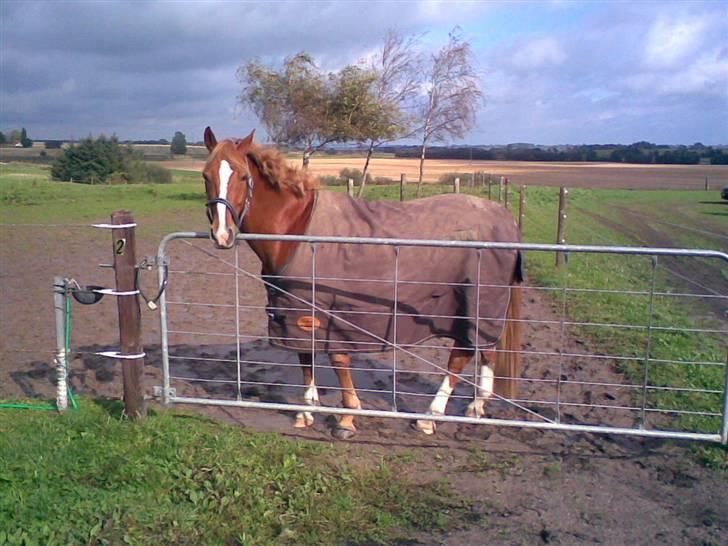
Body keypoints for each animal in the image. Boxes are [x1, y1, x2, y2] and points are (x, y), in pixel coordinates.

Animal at [202, 126, 524, 438]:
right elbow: (305, 356)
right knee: (485, 350)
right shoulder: (295, 309)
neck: (296, 227)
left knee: (461, 355)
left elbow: (337, 360)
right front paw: (307, 411)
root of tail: (505, 218)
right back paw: (476, 407)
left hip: (476, 304)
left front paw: (346, 418)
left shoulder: (330, 311)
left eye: (243, 176)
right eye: (206, 175)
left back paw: (429, 418)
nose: (222, 234)